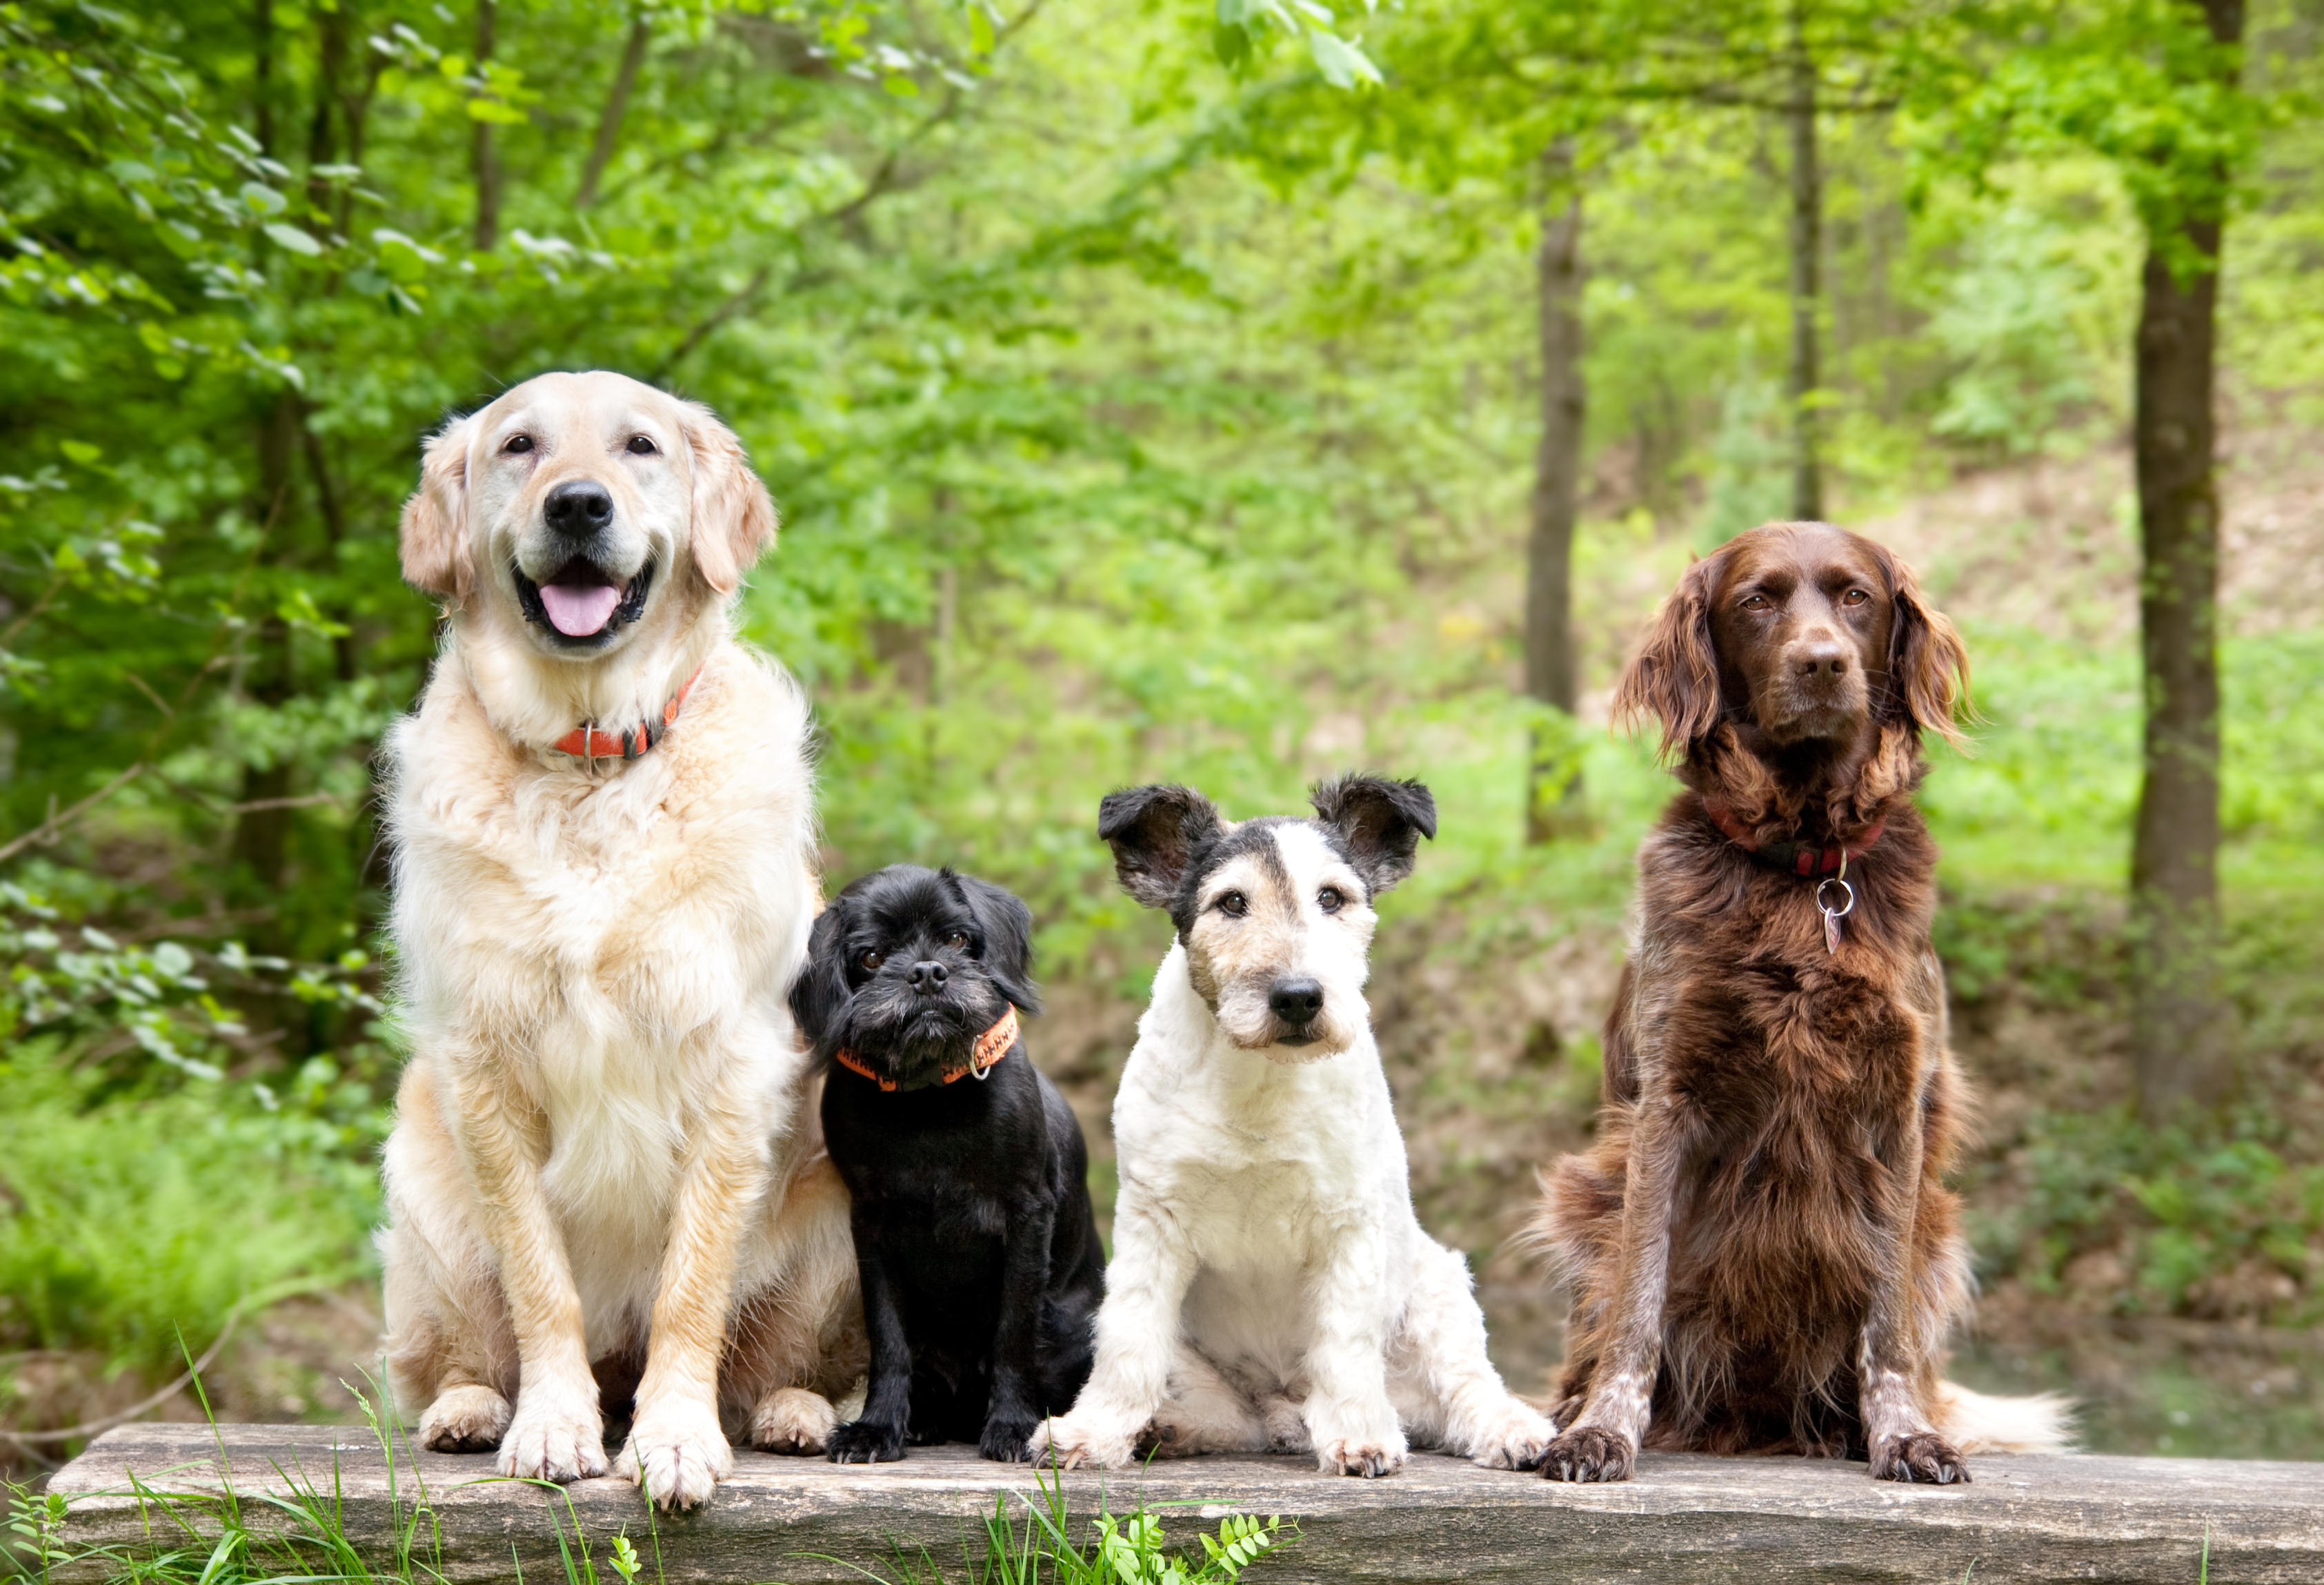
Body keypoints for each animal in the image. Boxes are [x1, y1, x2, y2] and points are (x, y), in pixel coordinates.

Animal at [379, 367, 864, 1506]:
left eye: (640, 446)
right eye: (518, 446)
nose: (577, 506)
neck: (590, 756)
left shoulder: (733, 1059)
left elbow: (692, 1285)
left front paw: (675, 1436)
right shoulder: (485, 1065)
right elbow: (538, 1281)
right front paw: (554, 1426)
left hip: (836, 1217)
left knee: (781, 1363)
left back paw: (793, 1413)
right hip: (422, 1201)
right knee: (460, 1352)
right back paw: (471, 1409)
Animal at [790, 864, 1106, 1459]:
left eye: (958, 939)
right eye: (871, 957)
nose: (927, 972)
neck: (928, 1098)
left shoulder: (1026, 1217)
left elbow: (1013, 1332)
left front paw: (1012, 1425)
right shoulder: (871, 1224)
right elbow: (888, 1338)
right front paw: (877, 1426)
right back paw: (922, 1420)